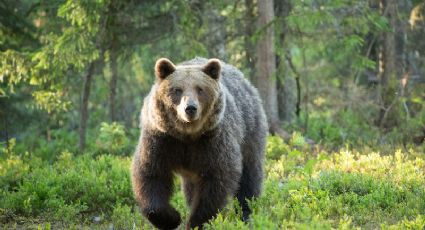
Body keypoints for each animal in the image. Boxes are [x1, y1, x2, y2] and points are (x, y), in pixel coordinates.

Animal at [131, 56, 266, 229]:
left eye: (200, 89)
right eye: (177, 89)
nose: (190, 108)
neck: (187, 134)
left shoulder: (212, 141)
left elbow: (216, 180)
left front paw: (196, 221)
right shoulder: (161, 139)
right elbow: (151, 174)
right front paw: (172, 218)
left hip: (249, 130)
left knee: (249, 175)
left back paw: (246, 213)